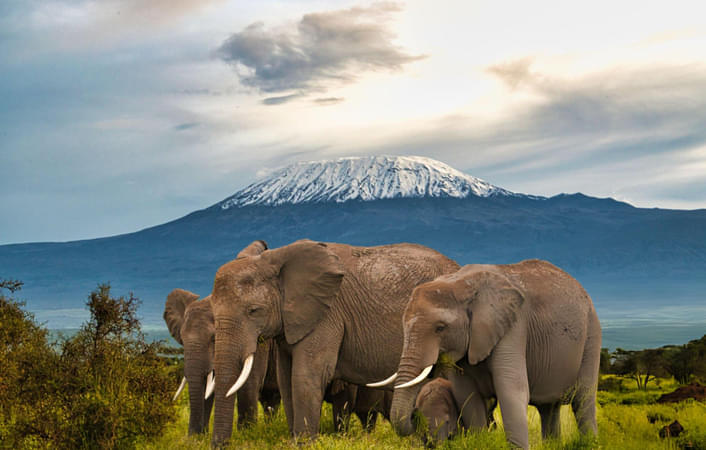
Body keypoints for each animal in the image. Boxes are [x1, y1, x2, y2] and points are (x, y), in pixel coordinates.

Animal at [209, 239, 459, 445]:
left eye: (253, 311)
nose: (220, 445)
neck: (278, 259)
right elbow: (286, 378)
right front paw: (295, 441)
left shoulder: (328, 315)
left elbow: (305, 376)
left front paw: (304, 444)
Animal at [376, 260, 601, 449]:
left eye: (440, 328)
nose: (414, 415)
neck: (460, 284)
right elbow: (467, 395)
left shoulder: (513, 327)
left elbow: (511, 391)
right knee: (548, 408)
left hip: (591, 334)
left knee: (583, 401)